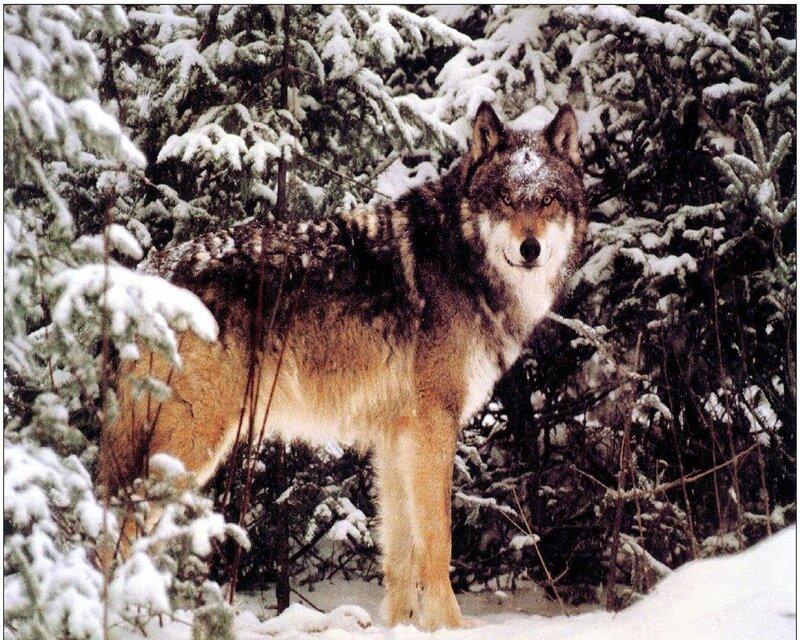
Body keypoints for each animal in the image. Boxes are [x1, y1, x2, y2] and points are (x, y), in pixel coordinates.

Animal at [98, 102, 586, 630]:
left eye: (547, 200)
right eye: (505, 198)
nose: (530, 249)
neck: (464, 261)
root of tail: (145, 274)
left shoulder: (396, 436)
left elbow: (401, 551)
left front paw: (401, 626)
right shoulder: (434, 425)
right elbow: (438, 541)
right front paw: (453, 627)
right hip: (191, 445)